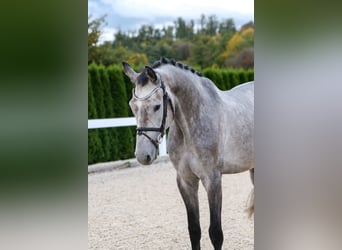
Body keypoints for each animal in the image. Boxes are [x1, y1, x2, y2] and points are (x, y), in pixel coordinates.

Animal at [123, 58, 254, 250]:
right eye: (132, 106)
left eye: (157, 106)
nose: (142, 155)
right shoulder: (186, 181)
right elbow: (194, 230)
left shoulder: (212, 180)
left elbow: (216, 233)